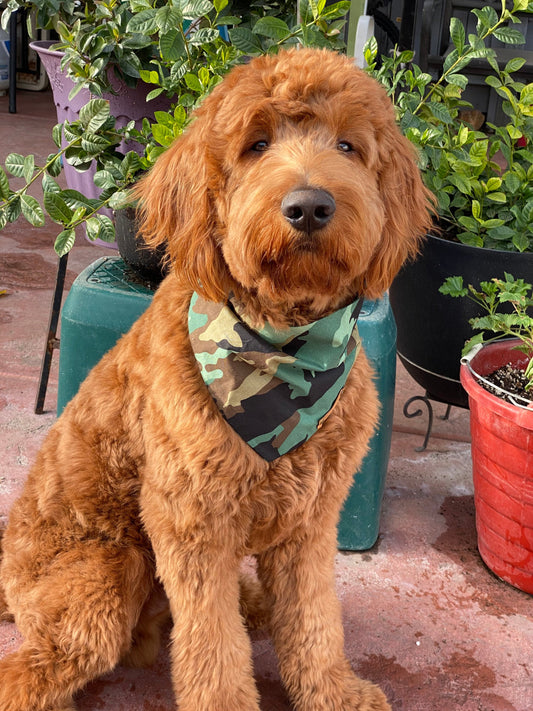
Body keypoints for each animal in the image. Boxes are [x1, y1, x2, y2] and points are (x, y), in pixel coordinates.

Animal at [0, 47, 432, 708]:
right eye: (256, 145)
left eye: (348, 146)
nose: (310, 206)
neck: (285, 348)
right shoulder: (192, 524)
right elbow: (212, 646)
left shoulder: (311, 523)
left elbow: (314, 618)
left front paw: (332, 690)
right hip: (107, 576)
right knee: (32, 668)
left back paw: (257, 605)